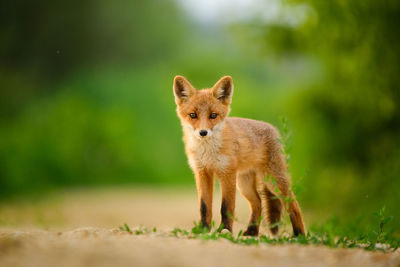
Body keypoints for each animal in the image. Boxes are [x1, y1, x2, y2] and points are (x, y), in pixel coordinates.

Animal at [172, 75, 306, 237]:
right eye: (193, 115)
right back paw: (252, 231)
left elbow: (226, 207)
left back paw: (300, 234)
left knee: (293, 204)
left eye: (213, 115)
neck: (208, 152)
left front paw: (225, 230)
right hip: (244, 184)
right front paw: (203, 229)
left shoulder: (227, 173)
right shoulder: (202, 172)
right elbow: (204, 207)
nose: (203, 132)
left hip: (272, 181)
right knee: (258, 202)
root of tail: (273, 128)